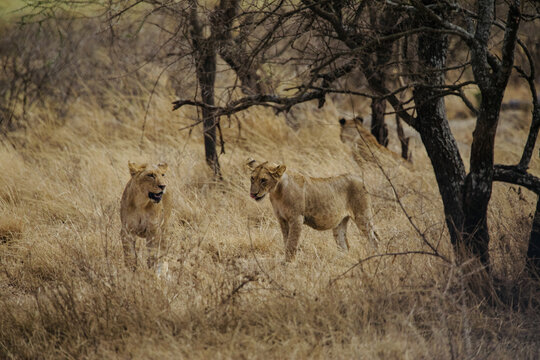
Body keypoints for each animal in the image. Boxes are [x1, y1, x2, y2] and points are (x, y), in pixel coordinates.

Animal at [247, 158, 378, 262]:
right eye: (252, 178)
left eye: (263, 180)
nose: (253, 194)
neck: (276, 192)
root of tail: (360, 178)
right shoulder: (282, 220)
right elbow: (286, 240)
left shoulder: (296, 218)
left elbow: (291, 243)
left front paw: (289, 264)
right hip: (340, 223)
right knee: (344, 245)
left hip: (363, 216)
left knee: (374, 239)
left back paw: (374, 258)